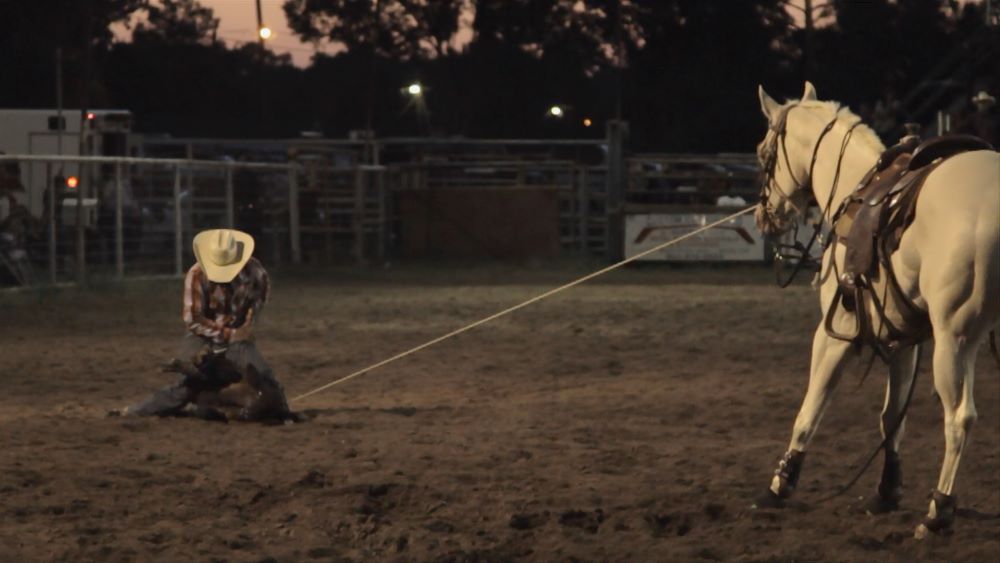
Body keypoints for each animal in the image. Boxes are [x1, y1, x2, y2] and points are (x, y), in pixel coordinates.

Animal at [752, 80, 996, 536]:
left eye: (763, 153)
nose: (763, 217)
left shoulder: (836, 332)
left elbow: (810, 409)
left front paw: (780, 484)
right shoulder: (903, 337)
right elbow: (892, 416)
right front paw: (886, 491)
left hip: (955, 339)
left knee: (959, 418)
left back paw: (938, 512)